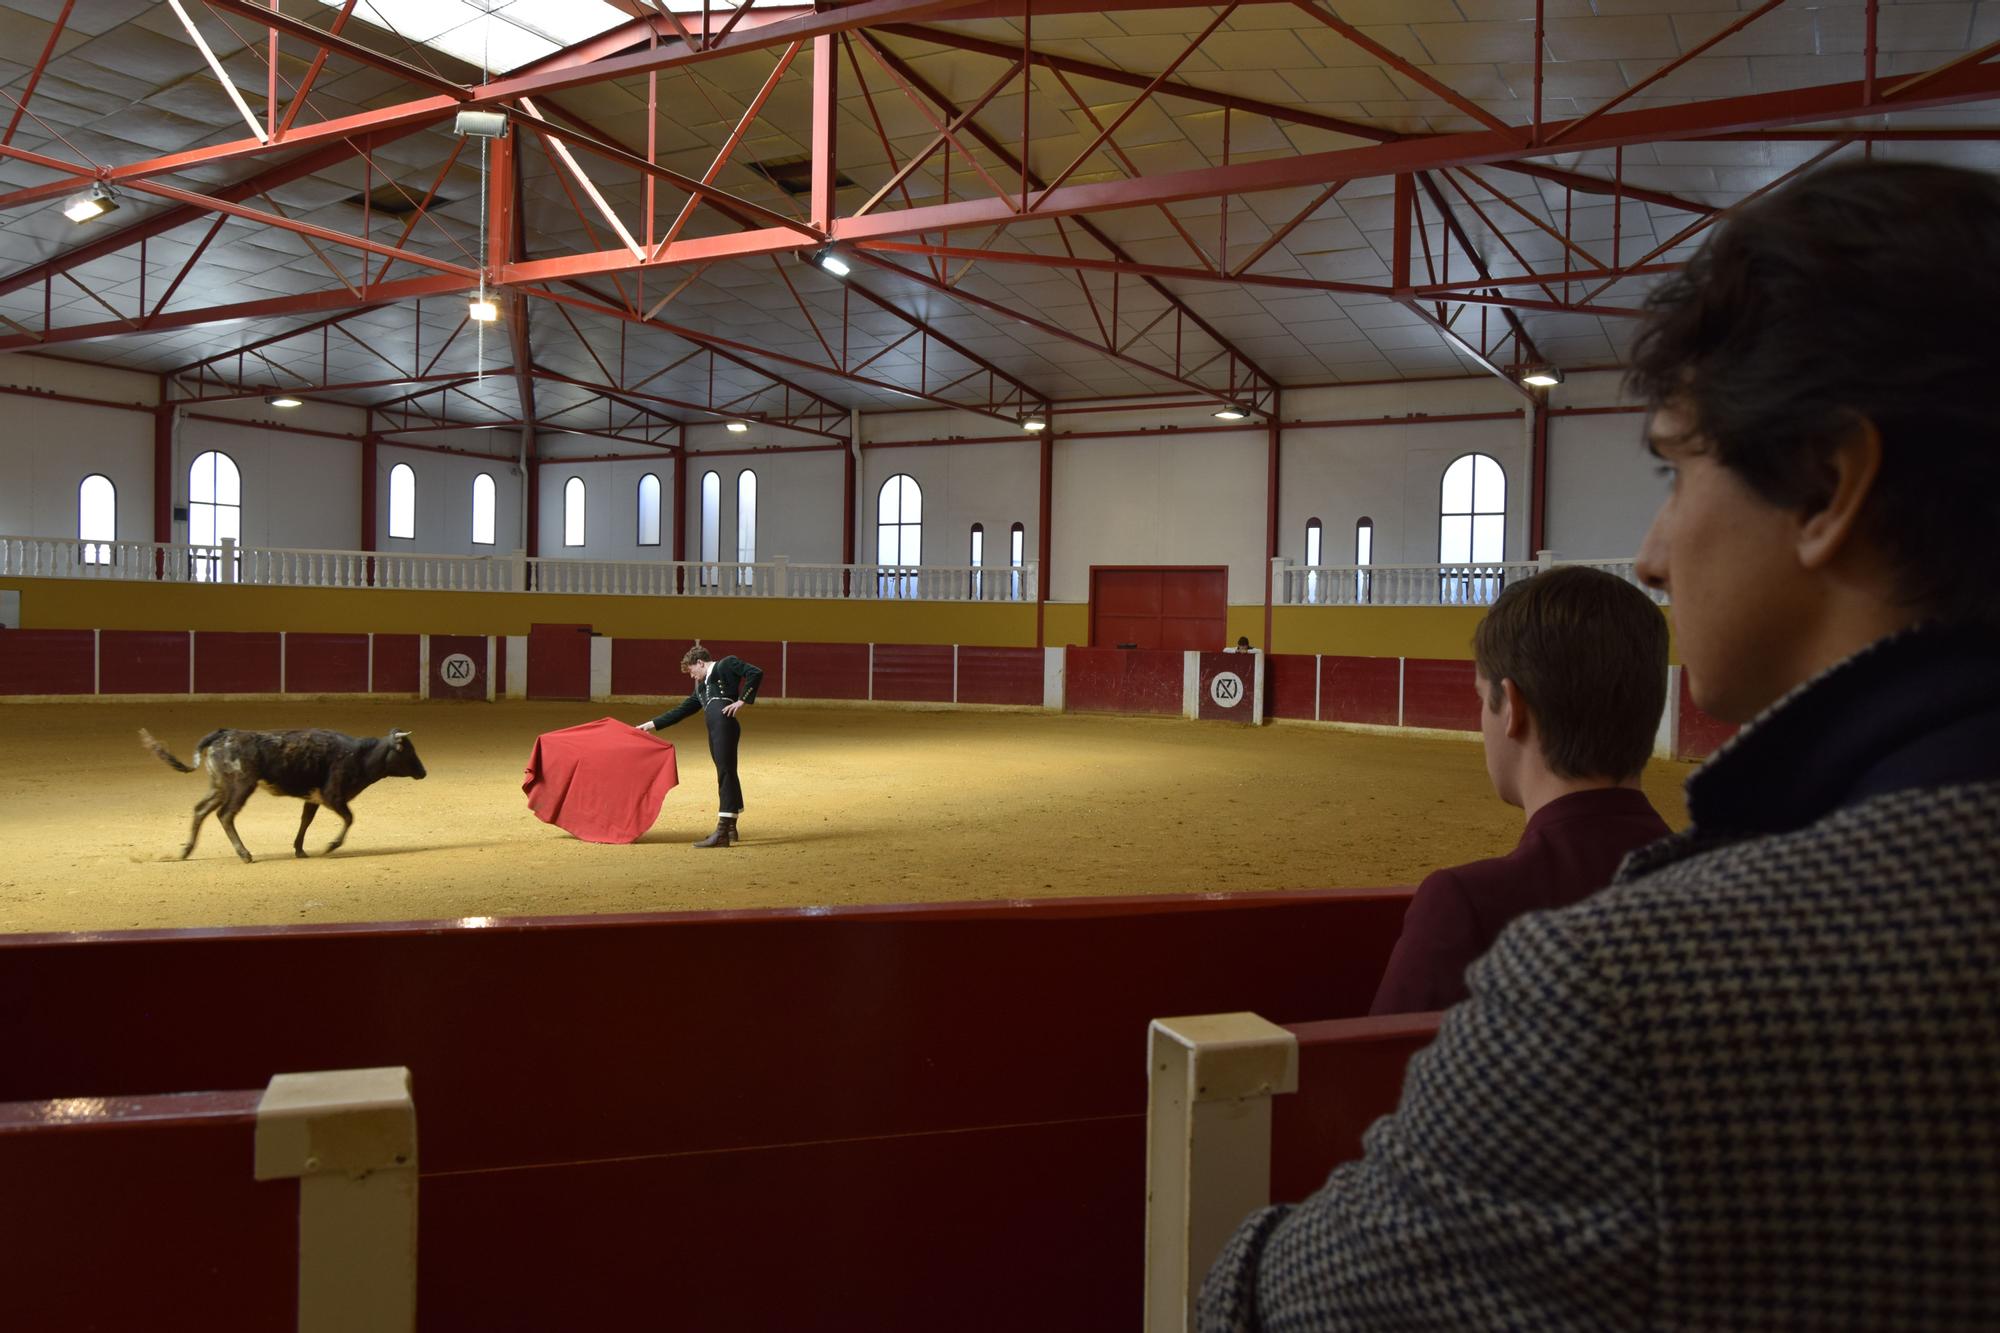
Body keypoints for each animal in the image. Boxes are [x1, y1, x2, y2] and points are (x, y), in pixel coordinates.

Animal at [143, 728, 428, 860]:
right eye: (409, 751)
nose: (424, 772)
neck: (359, 755)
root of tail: (222, 734)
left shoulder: (313, 798)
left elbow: (305, 821)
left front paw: (299, 849)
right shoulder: (333, 796)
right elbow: (349, 818)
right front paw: (331, 845)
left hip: (220, 786)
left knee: (200, 810)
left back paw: (186, 851)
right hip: (241, 786)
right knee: (225, 815)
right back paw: (244, 854)